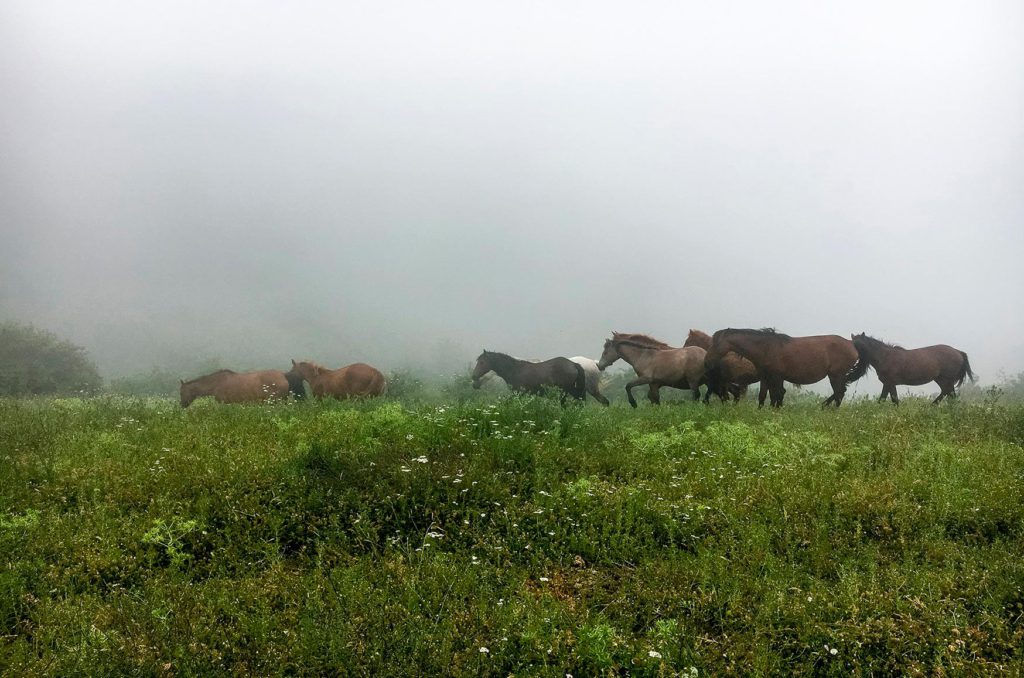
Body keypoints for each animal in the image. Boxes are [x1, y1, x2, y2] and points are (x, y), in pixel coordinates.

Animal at [704, 329, 864, 409]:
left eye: (715, 343)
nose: (706, 362)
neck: (766, 348)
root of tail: (851, 343)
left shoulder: (777, 377)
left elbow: (778, 394)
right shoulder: (766, 377)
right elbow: (764, 396)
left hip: (836, 375)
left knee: (839, 393)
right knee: (839, 393)